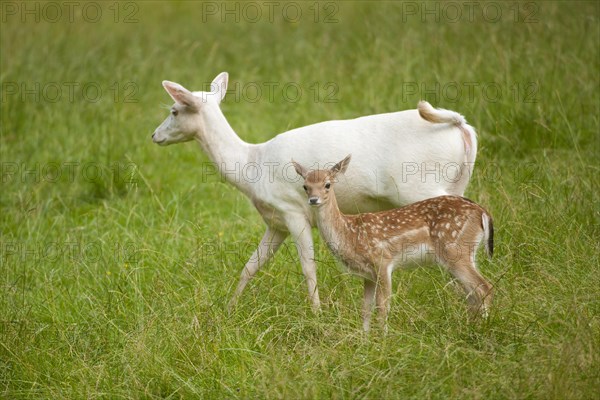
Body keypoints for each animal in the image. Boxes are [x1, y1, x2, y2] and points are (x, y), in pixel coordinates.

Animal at [154, 72, 478, 310]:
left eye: (174, 110)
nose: (155, 135)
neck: (250, 166)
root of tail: (462, 128)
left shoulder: (293, 210)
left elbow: (308, 268)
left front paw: (317, 315)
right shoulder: (276, 222)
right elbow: (250, 266)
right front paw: (229, 309)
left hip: (422, 185)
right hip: (456, 183)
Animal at [292, 156, 492, 332]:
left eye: (327, 184)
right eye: (305, 186)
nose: (313, 200)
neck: (349, 233)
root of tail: (482, 211)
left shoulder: (382, 261)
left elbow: (382, 306)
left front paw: (383, 339)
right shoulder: (368, 274)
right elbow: (365, 309)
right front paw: (364, 340)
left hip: (454, 248)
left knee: (484, 287)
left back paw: (483, 328)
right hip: (465, 252)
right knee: (472, 293)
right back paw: (470, 326)